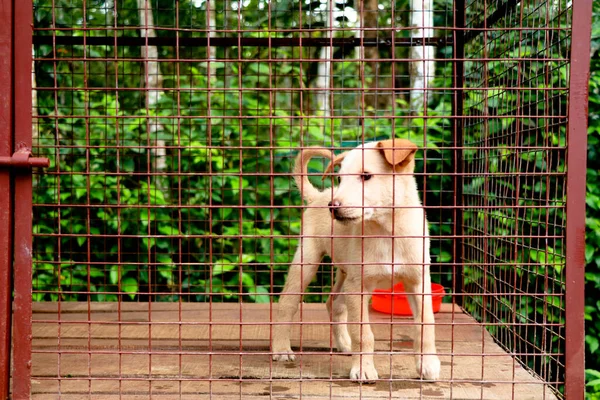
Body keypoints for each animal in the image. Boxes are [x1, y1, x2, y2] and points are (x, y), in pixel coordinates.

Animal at [272, 139, 440, 382]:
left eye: (366, 176)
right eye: (340, 178)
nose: (333, 206)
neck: (387, 231)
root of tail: (320, 195)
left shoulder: (418, 282)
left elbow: (426, 324)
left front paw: (428, 364)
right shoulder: (359, 287)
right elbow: (363, 333)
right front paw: (363, 368)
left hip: (345, 273)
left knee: (334, 303)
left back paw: (344, 344)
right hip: (307, 261)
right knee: (287, 302)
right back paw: (282, 348)